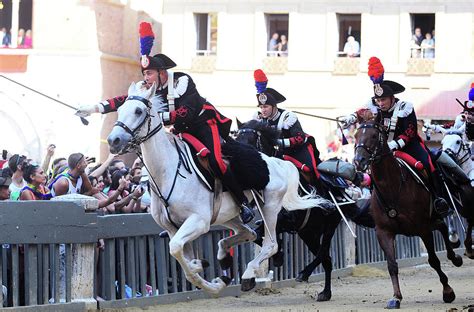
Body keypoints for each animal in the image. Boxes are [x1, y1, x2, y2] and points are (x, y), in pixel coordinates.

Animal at [106, 81, 326, 294]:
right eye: (120, 109)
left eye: (138, 111)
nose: (113, 140)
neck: (167, 173)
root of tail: (278, 162)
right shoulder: (172, 228)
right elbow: (182, 260)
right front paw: (210, 276)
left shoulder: (198, 221)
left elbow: (176, 250)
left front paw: (202, 270)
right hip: (227, 216)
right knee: (249, 234)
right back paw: (224, 258)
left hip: (269, 209)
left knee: (270, 245)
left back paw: (248, 275)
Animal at [354, 120, 462, 308]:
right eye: (356, 135)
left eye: (374, 135)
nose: (359, 160)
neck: (392, 186)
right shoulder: (384, 232)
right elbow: (392, 265)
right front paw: (396, 297)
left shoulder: (422, 229)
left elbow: (433, 260)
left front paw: (448, 292)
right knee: (441, 225)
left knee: (441, 227)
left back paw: (455, 258)